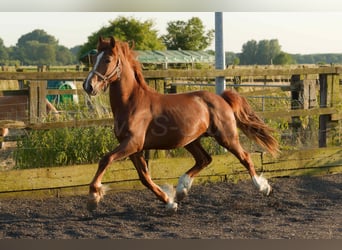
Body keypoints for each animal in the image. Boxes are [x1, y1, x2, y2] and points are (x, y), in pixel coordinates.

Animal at [82, 36, 278, 213]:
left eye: (107, 59)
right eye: (95, 58)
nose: (88, 86)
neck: (132, 103)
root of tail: (222, 98)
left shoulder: (133, 143)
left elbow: (106, 159)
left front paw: (93, 197)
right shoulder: (134, 148)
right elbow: (144, 177)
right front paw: (170, 202)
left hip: (226, 136)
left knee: (245, 157)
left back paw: (263, 187)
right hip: (191, 140)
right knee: (204, 159)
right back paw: (182, 189)